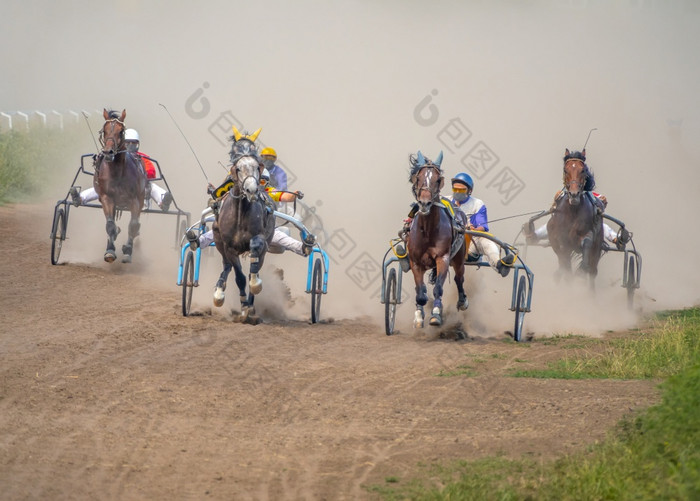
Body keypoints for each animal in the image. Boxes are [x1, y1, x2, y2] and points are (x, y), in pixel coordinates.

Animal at [93, 108, 147, 264]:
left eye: (121, 131)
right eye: (104, 130)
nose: (108, 152)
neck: (117, 173)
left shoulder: (134, 200)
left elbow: (133, 225)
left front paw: (128, 251)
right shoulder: (107, 198)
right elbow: (110, 225)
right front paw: (110, 251)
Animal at [211, 126, 274, 320]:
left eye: (256, 165)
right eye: (238, 167)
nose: (251, 189)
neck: (240, 214)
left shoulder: (260, 238)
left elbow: (254, 260)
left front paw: (251, 298)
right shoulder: (229, 247)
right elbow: (239, 277)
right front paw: (243, 306)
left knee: (257, 264)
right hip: (218, 240)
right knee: (226, 266)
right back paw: (219, 292)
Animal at [404, 149, 464, 328]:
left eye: (438, 180)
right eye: (418, 178)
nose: (424, 203)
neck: (428, 231)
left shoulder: (442, 258)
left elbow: (438, 288)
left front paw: (436, 314)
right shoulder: (415, 262)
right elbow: (420, 291)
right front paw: (419, 316)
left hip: (459, 258)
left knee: (459, 278)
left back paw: (462, 301)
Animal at [544, 146, 604, 284]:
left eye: (583, 170)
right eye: (565, 170)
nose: (574, 194)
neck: (573, 212)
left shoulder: (588, 233)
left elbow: (587, 241)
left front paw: (582, 270)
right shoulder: (562, 239)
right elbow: (565, 260)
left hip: (597, 246)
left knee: (593, 271)